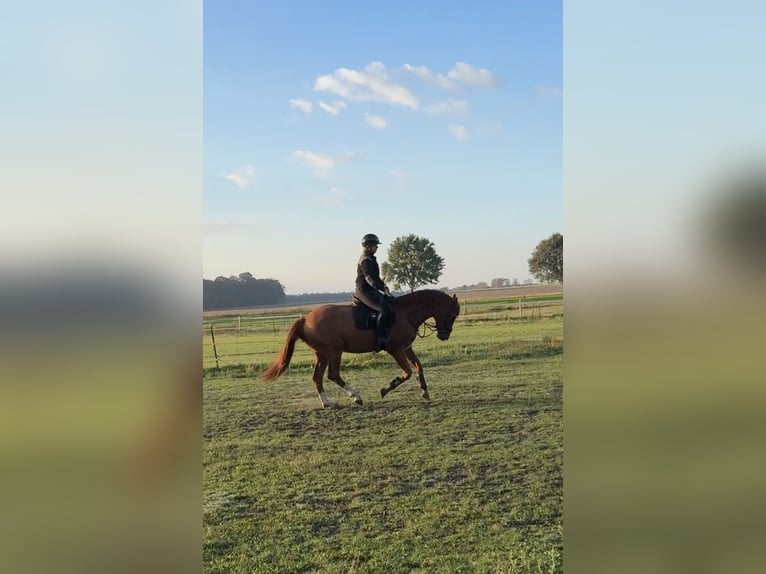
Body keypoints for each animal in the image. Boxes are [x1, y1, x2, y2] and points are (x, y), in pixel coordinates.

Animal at [260, 289, 461, 408]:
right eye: (452, 315)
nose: (444, 336)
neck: (405, 313)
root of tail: (305, 320)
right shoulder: (396, 349)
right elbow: (407, 372)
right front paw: (387, 387)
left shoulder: (406, 348)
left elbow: (419, 367)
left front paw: (424, 391)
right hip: (334, 352)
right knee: (333, 375)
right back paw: (356, 396)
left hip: (322, 355)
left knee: (317, 377)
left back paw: (328, 403)